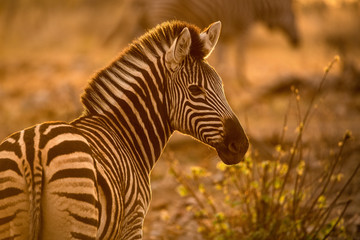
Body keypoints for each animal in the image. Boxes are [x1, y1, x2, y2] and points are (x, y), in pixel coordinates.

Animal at [0, 21, 248, 240]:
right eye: (195, 90)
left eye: (221, 86)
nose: (241, 145)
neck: (124, 133)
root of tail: (33, 151)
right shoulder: (134, 220)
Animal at [106, 0, 300, 84]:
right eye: (294, 16)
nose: (298, 42)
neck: (257, 6)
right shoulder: (243, 26)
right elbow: (240, 55)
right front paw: (243, 80)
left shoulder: (227, 32)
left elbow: (222, 55)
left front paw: (226, 77)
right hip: (162, 13)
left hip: (142, 19)